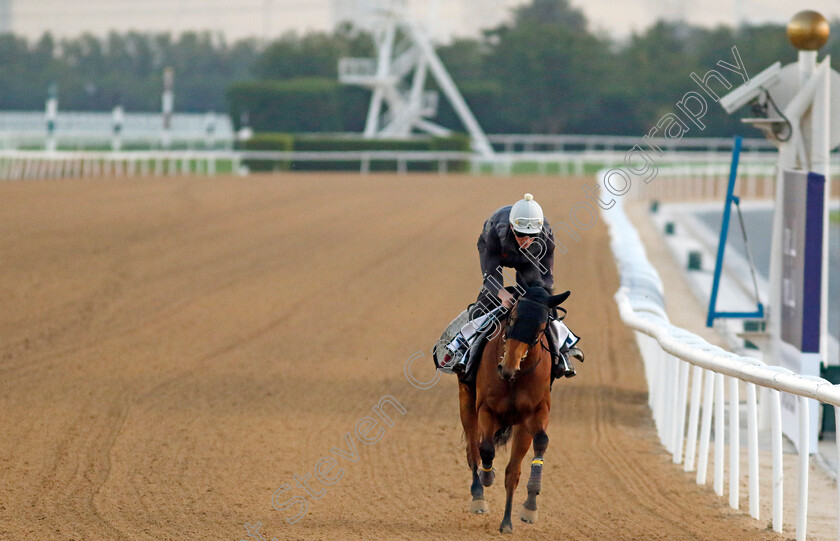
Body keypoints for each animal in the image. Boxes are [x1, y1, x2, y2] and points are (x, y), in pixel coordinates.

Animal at [456, 284, 568, 532]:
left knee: (511, 470)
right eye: (513, 318)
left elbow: (538, 444)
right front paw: (487, 478)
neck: (514, 379)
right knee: (473, 449)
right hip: (466, 400)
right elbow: (486, 449)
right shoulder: (486, 409)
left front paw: (529, 506)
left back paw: (507, 520)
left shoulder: (534, 413)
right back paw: (478, 495)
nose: (506, 367)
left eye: (541, 328)